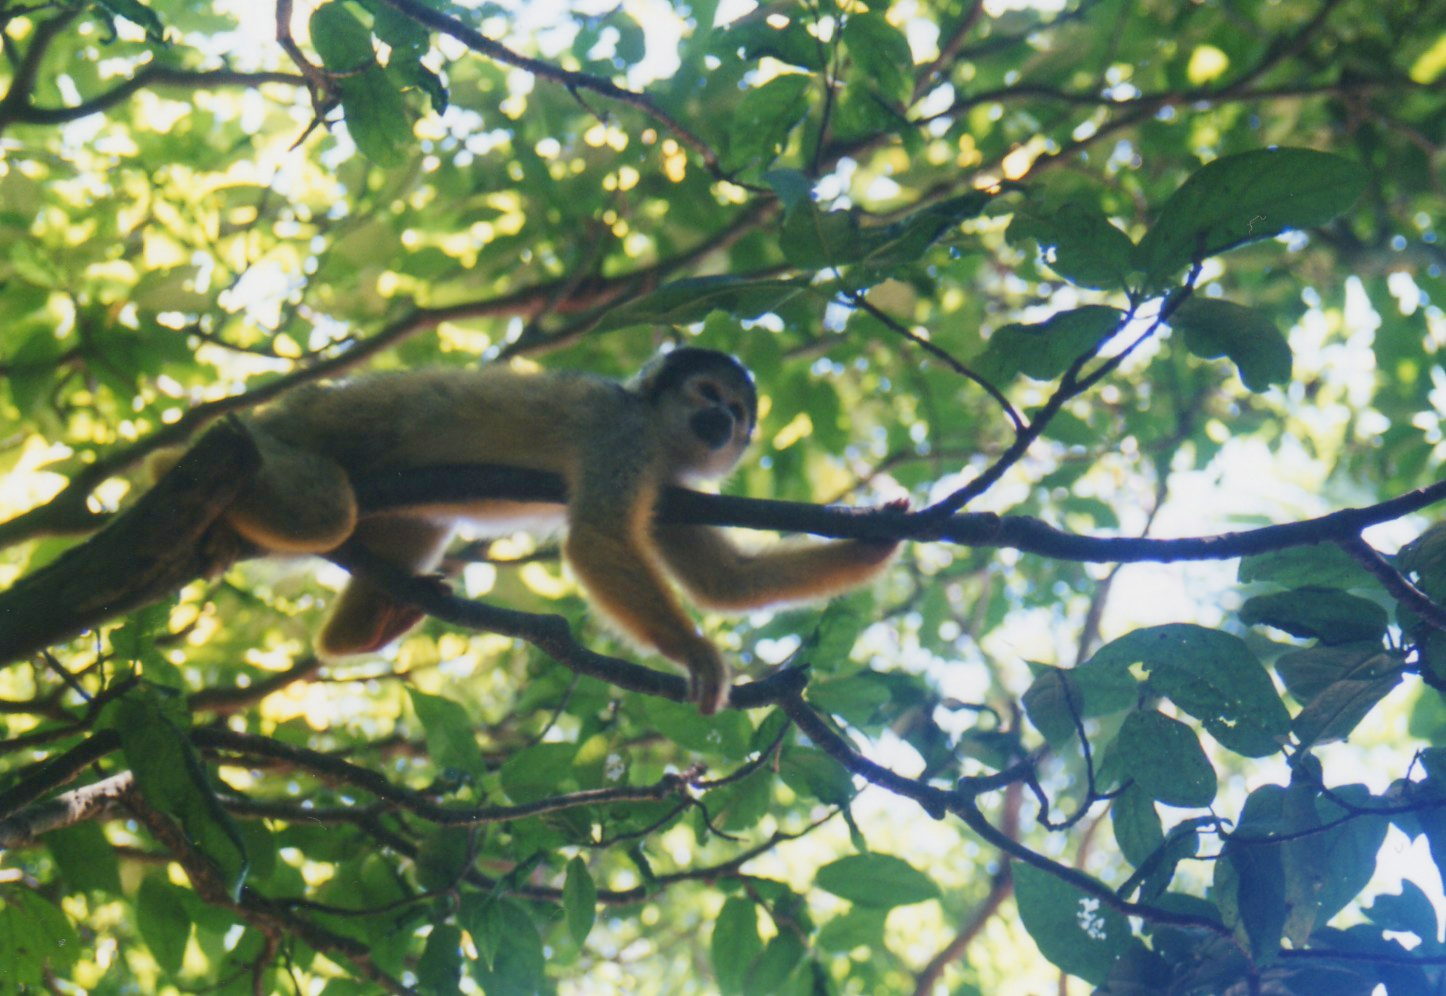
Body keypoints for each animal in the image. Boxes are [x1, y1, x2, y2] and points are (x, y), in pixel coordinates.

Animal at [164, 348, 896, 708]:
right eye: (709, 396)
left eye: (738, 412)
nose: (723, 424)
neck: (661, 438)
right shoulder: (621, 436)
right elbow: (596, 539)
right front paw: (693, 652)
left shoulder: (672, 487)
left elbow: (725, 581)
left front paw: (878, 541)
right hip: (285, 435)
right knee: (326, 510)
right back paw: (227, 514)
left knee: (413, 522)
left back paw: (363, 627)